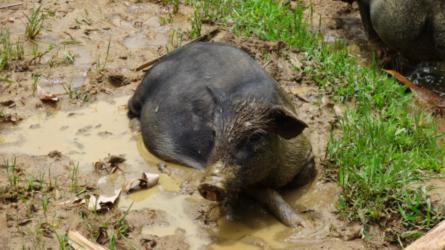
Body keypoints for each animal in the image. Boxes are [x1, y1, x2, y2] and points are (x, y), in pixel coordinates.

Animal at [128, 42, 314, 227]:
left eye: (256, 136)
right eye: (214, 133)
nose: (211, 182)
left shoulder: (305, 151)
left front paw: (303, 225)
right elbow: (264, 193)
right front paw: (301, 223)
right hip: (143, 89)